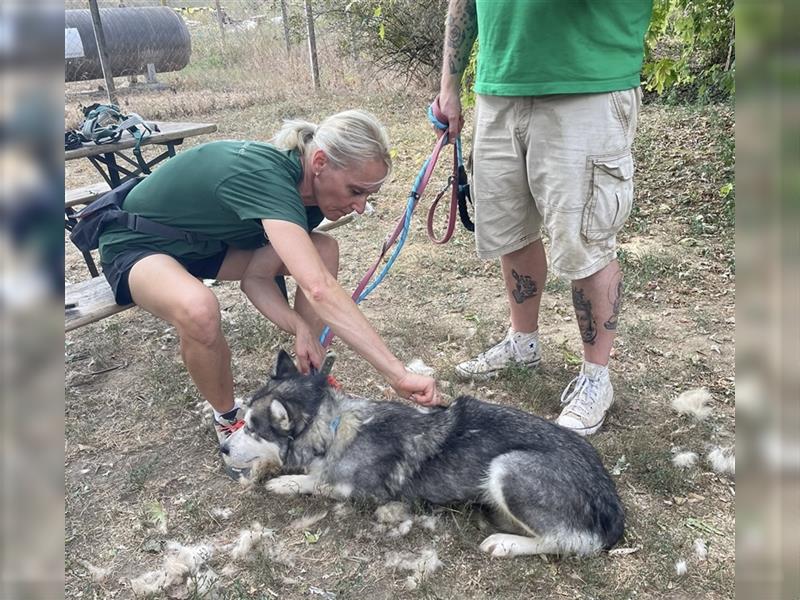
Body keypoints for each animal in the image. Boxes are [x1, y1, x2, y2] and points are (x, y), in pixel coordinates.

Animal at [220, 352, 624, 556]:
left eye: (253, 428)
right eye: (241, 419)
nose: (223, 447)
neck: (333, 428)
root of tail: (610, 500)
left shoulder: (359, 491)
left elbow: (316, 480)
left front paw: (286, 481)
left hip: (508, 466)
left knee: (572, 542)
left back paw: (507, 543)